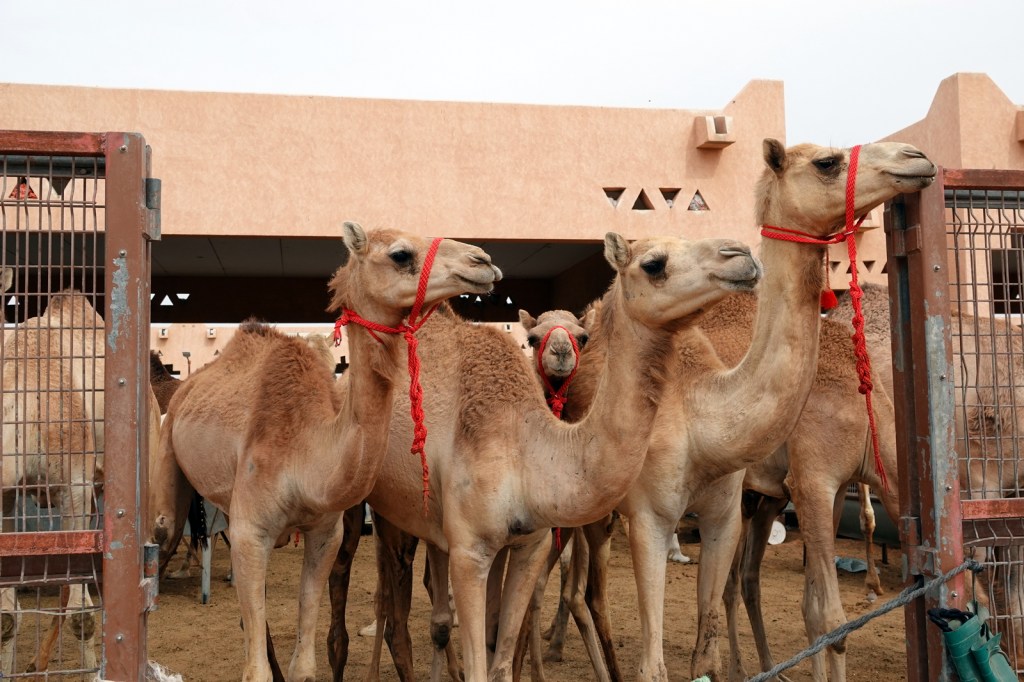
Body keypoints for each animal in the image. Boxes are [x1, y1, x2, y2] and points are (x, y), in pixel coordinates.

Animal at [152, 223, 502, 682]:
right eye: (400, 254)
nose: (483, 261)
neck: (305, 456)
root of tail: (185, 387)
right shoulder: (251, 530)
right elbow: (255, 671)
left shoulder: (324, 533)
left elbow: (304, 664)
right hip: (169, 455)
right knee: (163, 532)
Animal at [329, 230, 763, 682]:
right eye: (653, 264)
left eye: (583, 337)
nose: (741, 254)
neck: (528, 449)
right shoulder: (470, 551)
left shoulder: (529, 543)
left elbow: (500, 660)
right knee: (381, 601)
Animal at [552, 140, 935, 682]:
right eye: (827, 162)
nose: (915, 155)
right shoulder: (656, 515)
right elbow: (657, 663)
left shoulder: (731, 509)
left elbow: (710, 647)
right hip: (592, 507)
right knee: (583, 593)